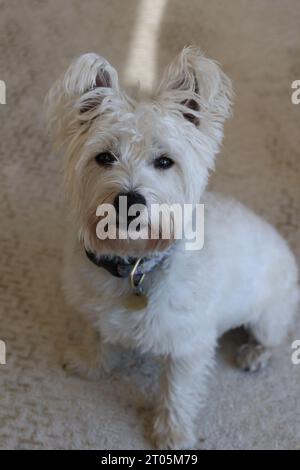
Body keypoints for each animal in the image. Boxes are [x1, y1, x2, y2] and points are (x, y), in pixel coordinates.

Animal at [45, 46, 298, 448]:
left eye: (165, 161)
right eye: (104, 157)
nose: (129, 201)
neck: (135, 263)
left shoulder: (188, 346)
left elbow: (177, 392)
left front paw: (172, 433)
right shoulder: (95, 308)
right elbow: (98, 335)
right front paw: (91, 363)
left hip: (268, 316)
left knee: (274, 336)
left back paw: (255, 354)